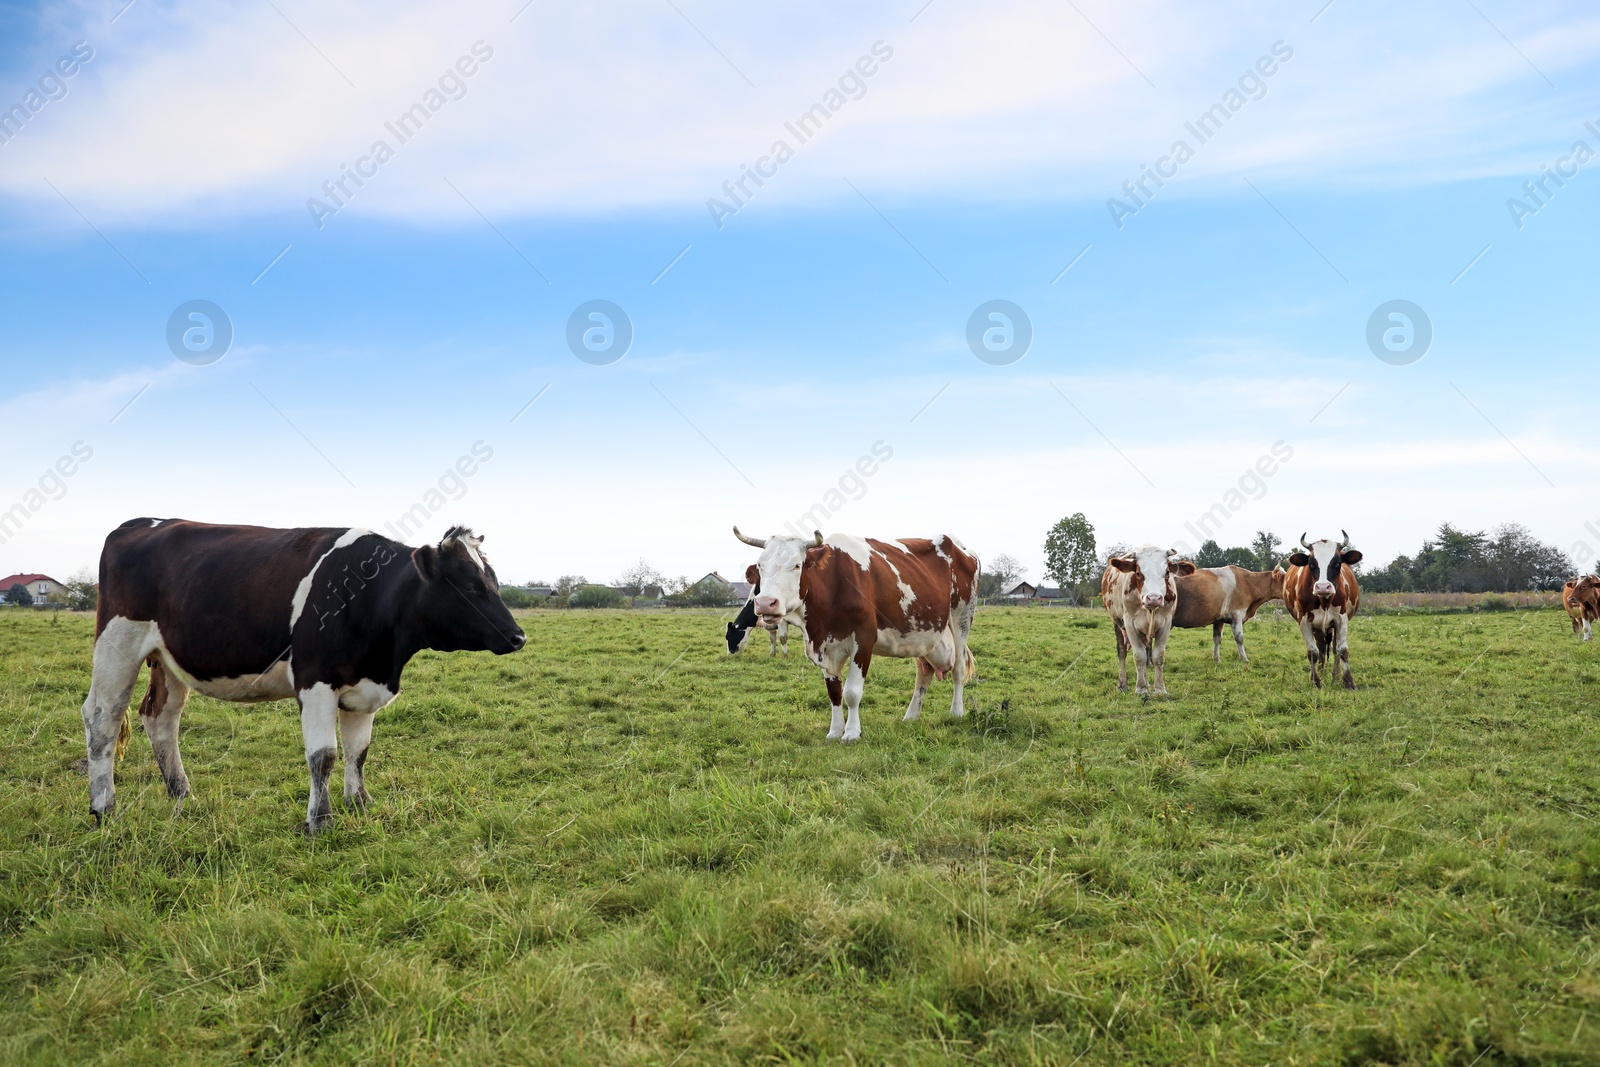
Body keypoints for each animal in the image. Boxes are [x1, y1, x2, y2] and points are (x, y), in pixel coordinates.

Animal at [82, 518, 524, 831]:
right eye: (469, 586)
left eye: (494, 581)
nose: (518, 636)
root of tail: (139, 523)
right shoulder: (316, 682)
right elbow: (323, 755)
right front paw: (319, 820)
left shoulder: (365, 687)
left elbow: (359, 752)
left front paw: (360, 805)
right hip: (116, 643)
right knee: (103, 717)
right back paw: (104, 808)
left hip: (167, 657)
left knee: (161, 718)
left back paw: (182, 796)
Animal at [732, 524, 972, 742]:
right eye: (761, 566)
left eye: (797, 565)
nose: (765, 603)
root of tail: (959, 545)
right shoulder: (824, 645)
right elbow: (834, 693)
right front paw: (835, 731)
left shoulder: (863, 640)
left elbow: (852, 692)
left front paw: (851, 733)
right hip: (923, 636)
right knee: (924, 671)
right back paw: (911, 716)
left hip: (961, 618)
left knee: (959, 669)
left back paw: (956, 712)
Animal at [1107, 547, 1196, 697]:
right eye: (1138, 573)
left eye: (1167, 572)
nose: (1154, 598)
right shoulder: (1129, 623)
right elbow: (1139, 656)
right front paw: (1141, 688)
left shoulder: (1166, 623)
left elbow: (1157, 656)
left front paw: (1159, 688)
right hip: (1118, 623)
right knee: (1122, 652)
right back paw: (1123, 684)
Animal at [1280, 534, 1369, 694]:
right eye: (1311, 564)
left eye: (1337, 563)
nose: (1322, 587)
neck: (1324, 601)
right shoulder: (1304, 621)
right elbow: (1313, 653)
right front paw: (1315, 681)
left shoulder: (1341, 619)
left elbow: (1342, 650)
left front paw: (1348, 682)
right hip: (1318, 628)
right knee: (1321, 649)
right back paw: (1322, 672)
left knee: (1333, 650)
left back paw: (1335, 676)